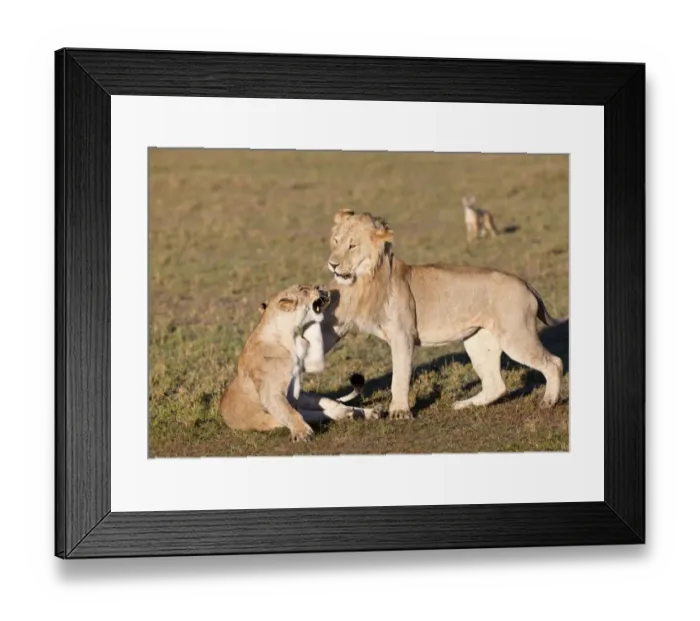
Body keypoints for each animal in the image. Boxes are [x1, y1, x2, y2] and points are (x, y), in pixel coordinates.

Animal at [219, 284, 378, 442]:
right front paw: (303, 433)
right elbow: (290, 413)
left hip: (309, 398)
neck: (289, 336)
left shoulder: (312, 361)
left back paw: (371, 412)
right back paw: (350, 415)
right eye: (303, 289)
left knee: (335, 406)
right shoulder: (270, 394)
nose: (319, 286)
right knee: (321, 413)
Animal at [304, 210, 564, 419]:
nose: (332, 264)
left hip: (516, 336)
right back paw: (462, 405)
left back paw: (549, 401)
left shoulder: (403, 336)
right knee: (495, 385)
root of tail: (526, 283)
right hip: (478, 341)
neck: (365, 279)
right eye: (335, 241)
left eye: (352, 245)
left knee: (554, 363)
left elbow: (399, 376)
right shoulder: (338, 322)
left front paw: (400, 412)